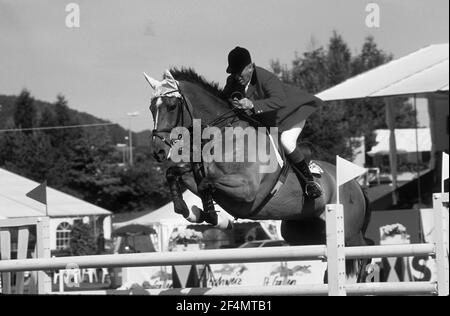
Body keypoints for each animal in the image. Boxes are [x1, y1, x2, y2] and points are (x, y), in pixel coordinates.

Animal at [145, 68, 372, 278]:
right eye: (151, 108)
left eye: (171, 106)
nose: (158, 151)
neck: (224, 136)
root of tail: (356, 185)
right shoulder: (198, 173)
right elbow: (176, 174)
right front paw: (189, 210)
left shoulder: (247, 191)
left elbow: (205, 184)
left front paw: (210, 215)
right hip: (301, 231)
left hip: (349, 231)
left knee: (365, 250)